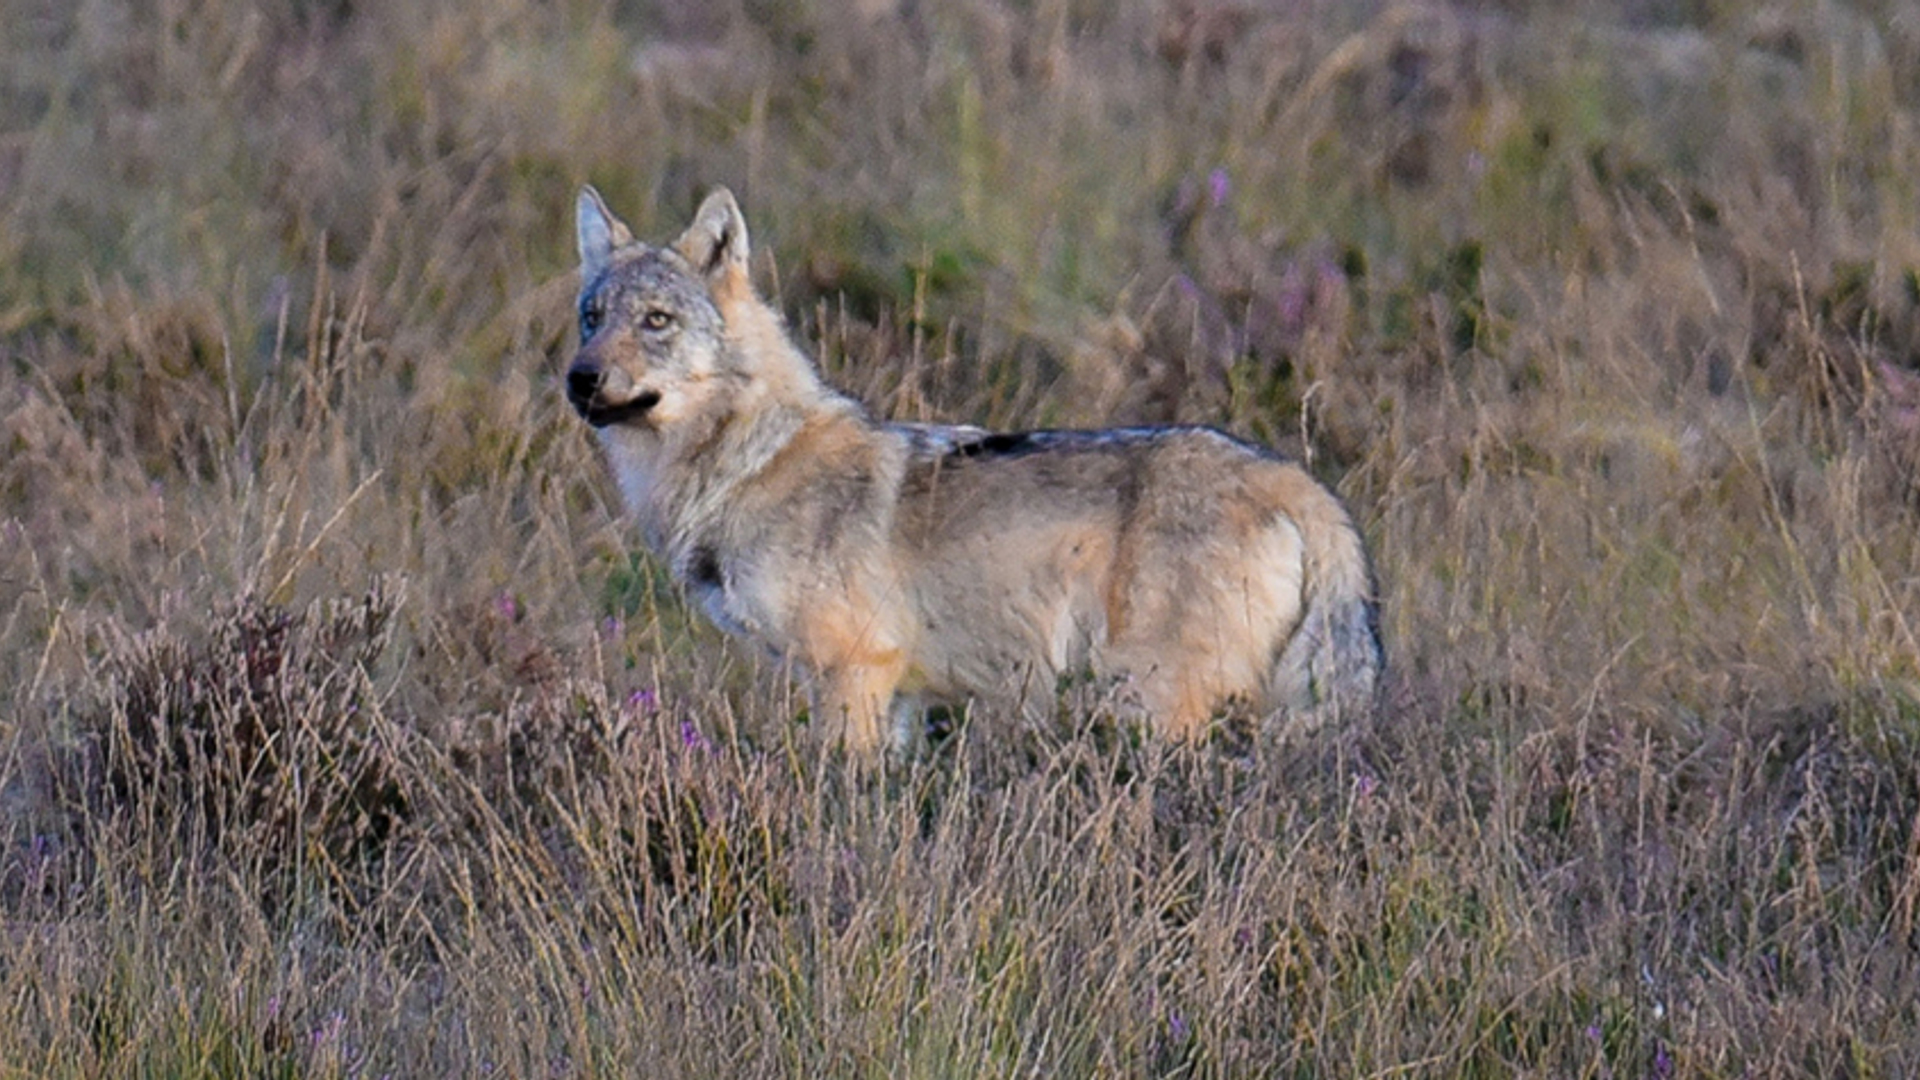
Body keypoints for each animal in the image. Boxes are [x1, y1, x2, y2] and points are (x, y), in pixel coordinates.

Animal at [560, 184, 1382, 757]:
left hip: (1150, 703)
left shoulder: (852, 671)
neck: (748, 464)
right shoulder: (897, 697)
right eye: (593, 319)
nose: (580, 380)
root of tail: (1302, 485)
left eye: (656, 322)